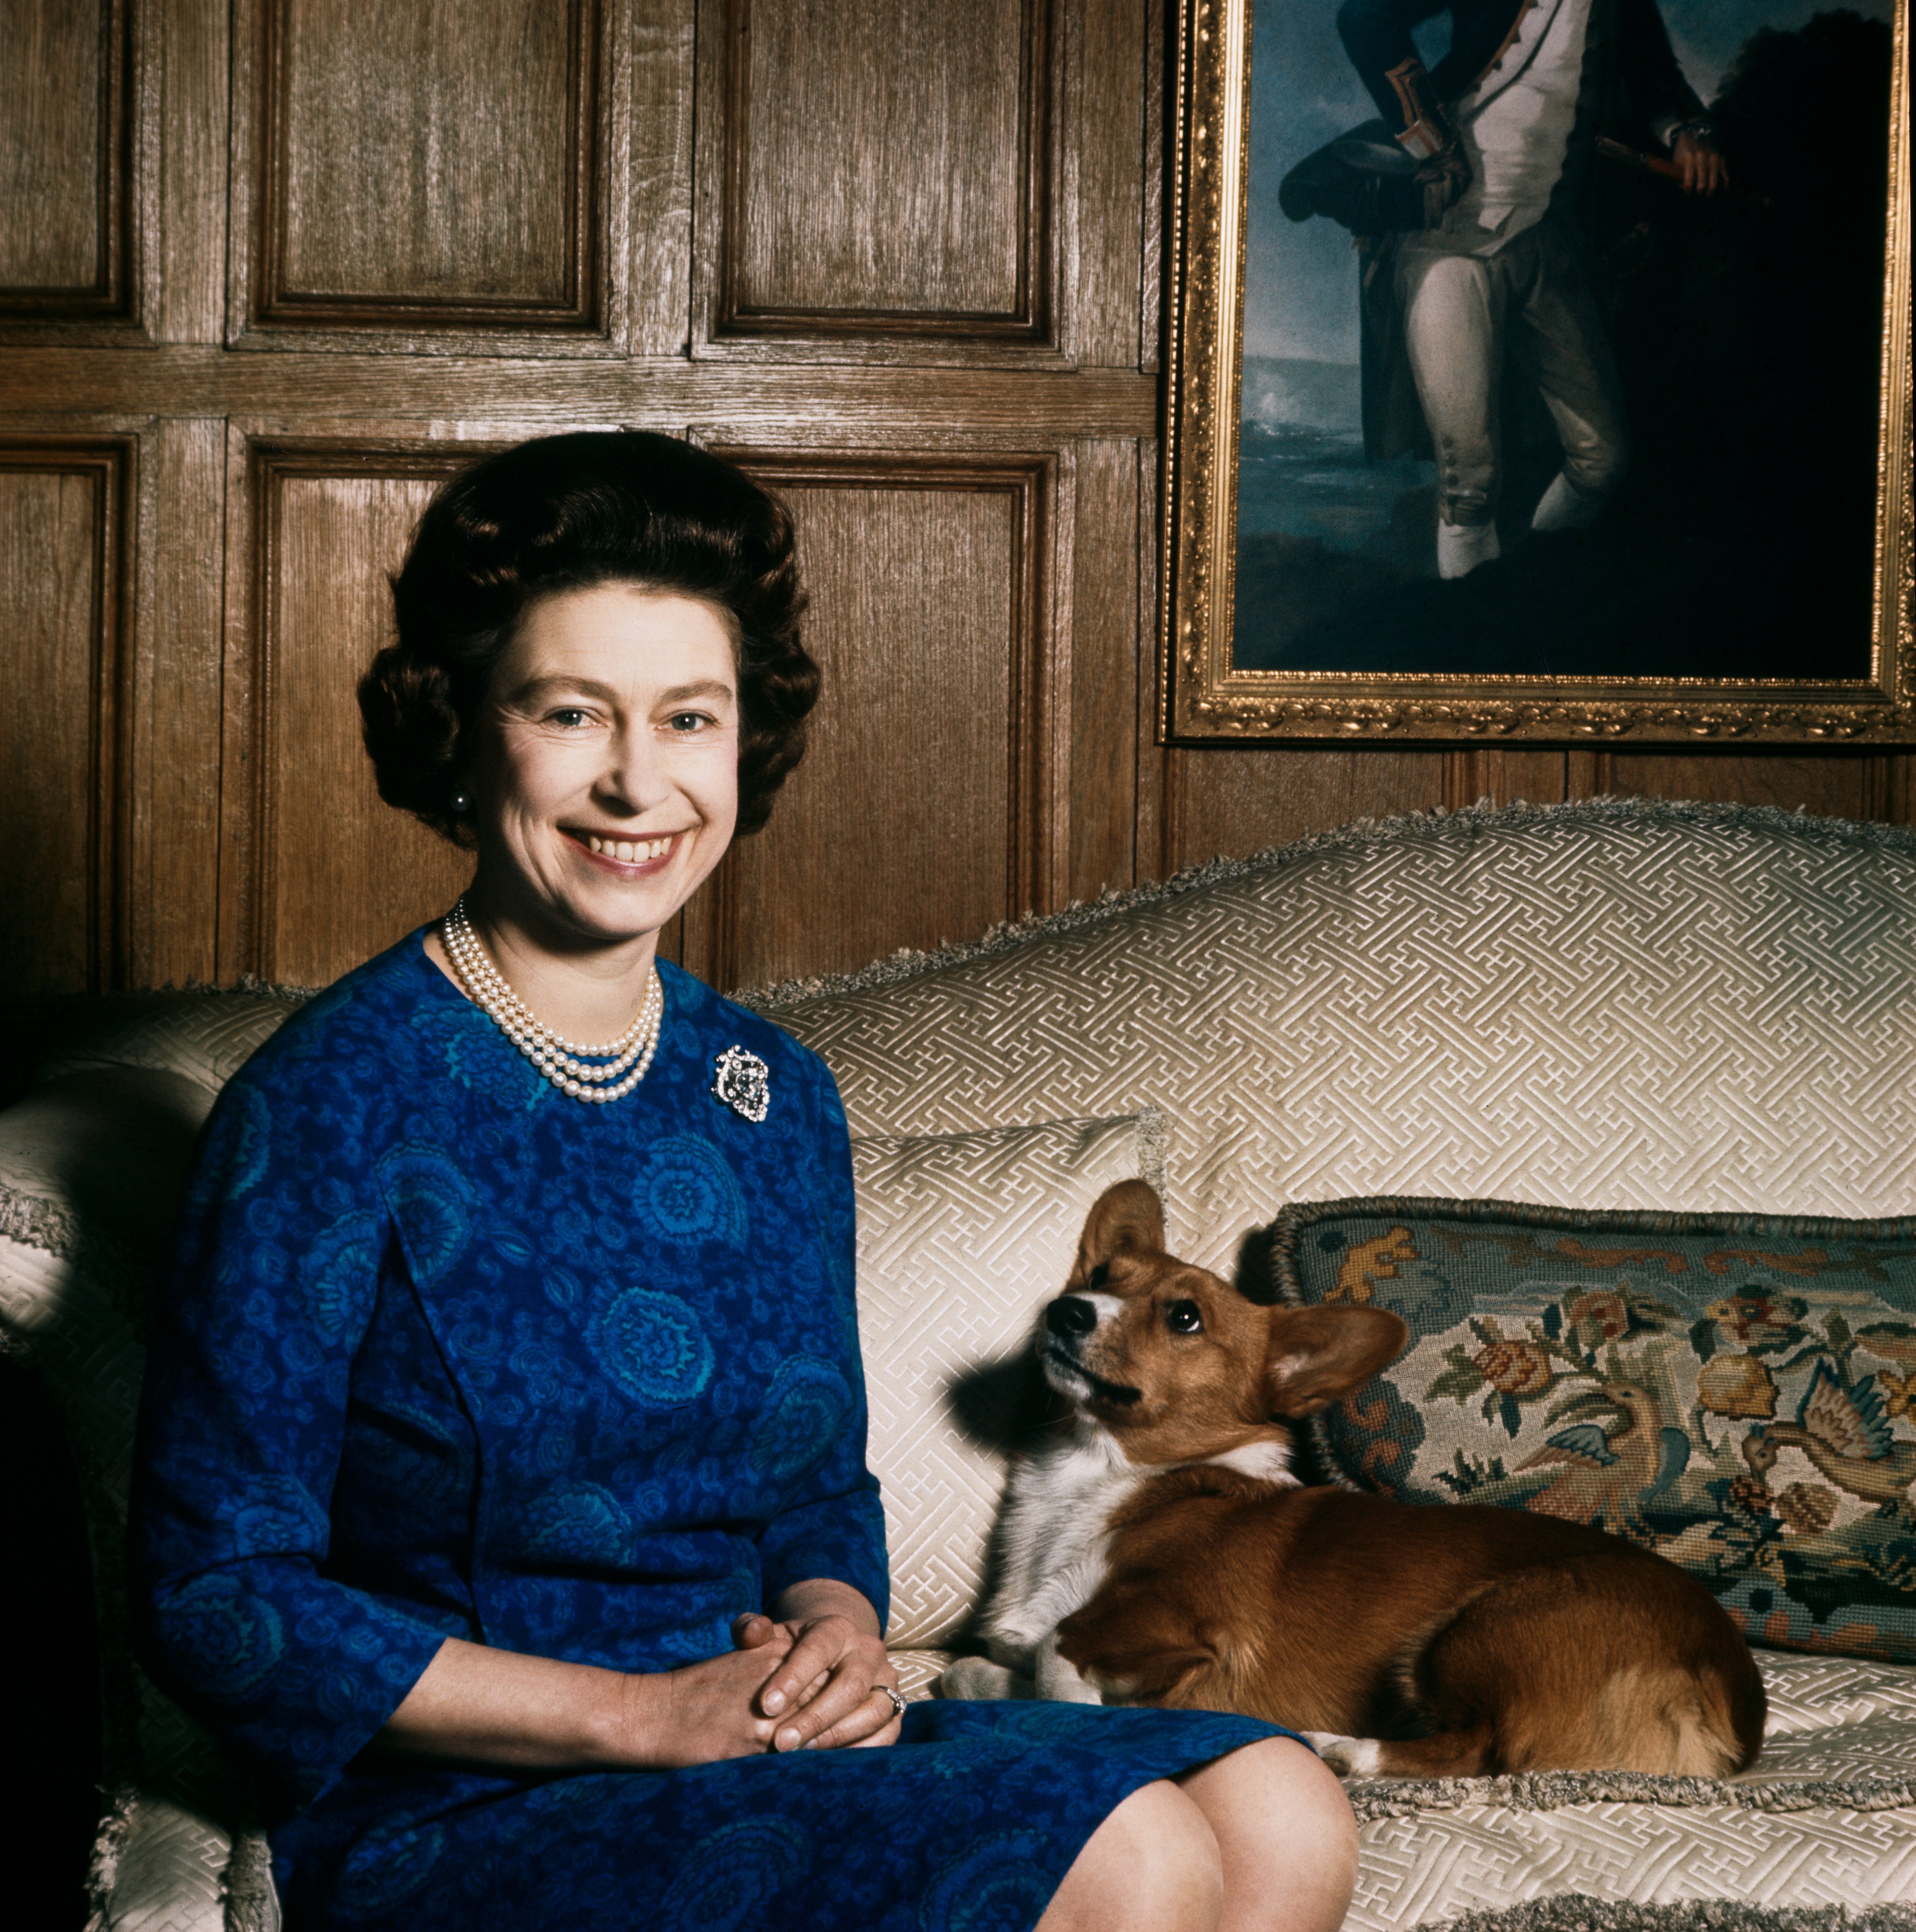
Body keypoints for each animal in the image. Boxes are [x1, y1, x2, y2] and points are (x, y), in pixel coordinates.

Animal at [942, 1174, 1769, 1777]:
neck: (1101, 1474)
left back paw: (1341, 1748)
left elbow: (1058, 1651)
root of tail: (1731, 1704)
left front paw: (1081, 1708)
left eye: (1183, 1317)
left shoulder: (1181, 1625)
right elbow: (984, 1664)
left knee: (1477, 1749)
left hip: (1477, 1622)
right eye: (1102, 1274)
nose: (1067, 1309)